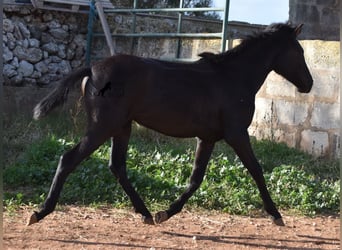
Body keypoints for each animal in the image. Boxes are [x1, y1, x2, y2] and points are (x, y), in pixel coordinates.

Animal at [28, 23, 312, 227]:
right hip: (102, 126)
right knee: (69, 159)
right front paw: (276, 215)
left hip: (121, 127)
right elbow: (256, 170)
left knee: (117, 166)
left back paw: (146, 213)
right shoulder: (237, 134)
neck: (233, 77)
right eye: (299, 52)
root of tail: (93, 69)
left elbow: (196, 178)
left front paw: (165, 212)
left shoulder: (208, 138)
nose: (308, 84)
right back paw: (40, 212)